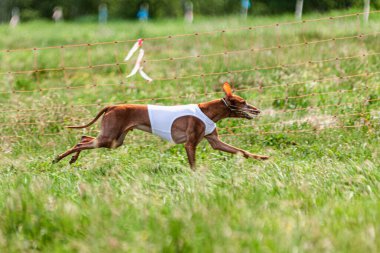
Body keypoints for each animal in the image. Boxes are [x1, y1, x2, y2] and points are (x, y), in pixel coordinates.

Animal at [53, 83, 268, 170]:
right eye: (243, 102)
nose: (258, 110)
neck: (208, 111)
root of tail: (112, 105)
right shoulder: (190, 144)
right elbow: (193, 165)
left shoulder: (215, 142)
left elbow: (242, 151)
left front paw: (263, 157)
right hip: (109, 137)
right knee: (81, 143)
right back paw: (59, 158)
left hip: (114, 140)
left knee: (83, 138)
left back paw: (71, 159)